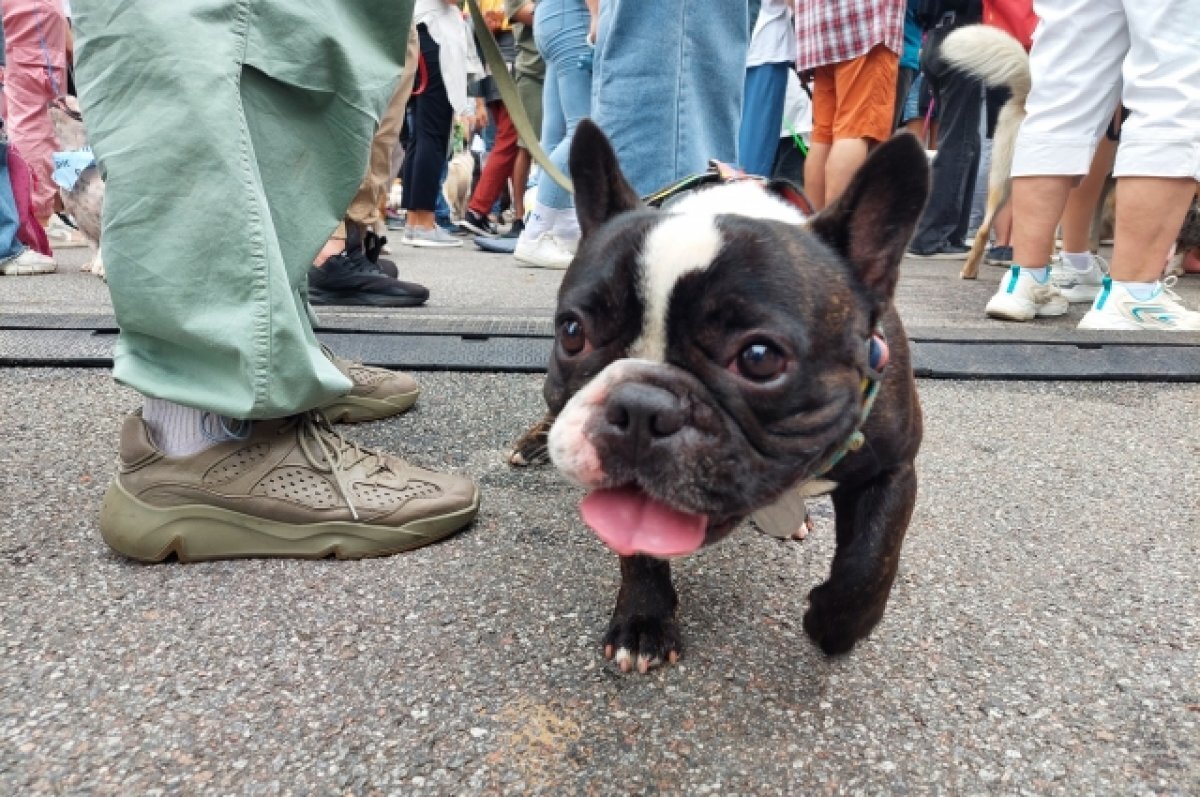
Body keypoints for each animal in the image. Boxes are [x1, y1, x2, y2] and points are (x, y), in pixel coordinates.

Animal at [542, 121, 926, 672]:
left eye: (759, 357)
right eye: (573, 333)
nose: (640, 406)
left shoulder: (894, 466)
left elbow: (870, 563)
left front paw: (833, 625)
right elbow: (636, 548)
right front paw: (642, 620)